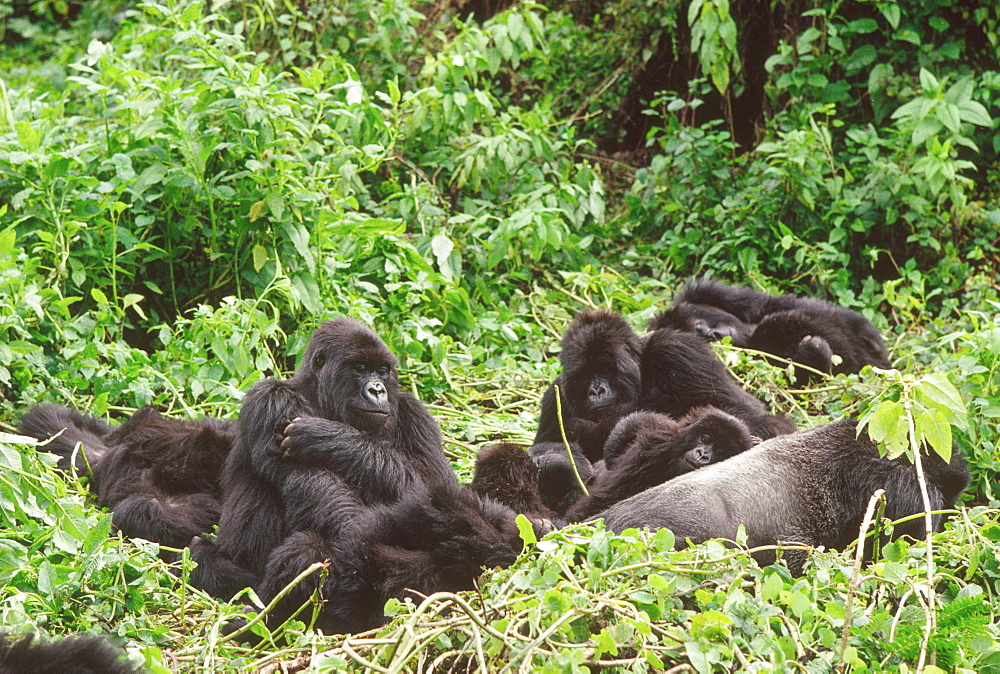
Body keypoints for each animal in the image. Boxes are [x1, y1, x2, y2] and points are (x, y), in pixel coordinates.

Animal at [652, 276, 896, 384]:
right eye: (703, 340)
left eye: (699, 326)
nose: (714, 335)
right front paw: (813, 353)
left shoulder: (707, 293)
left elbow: (774, 303)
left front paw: (869, 333)